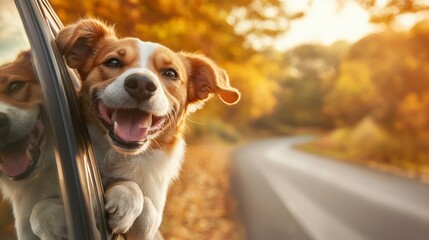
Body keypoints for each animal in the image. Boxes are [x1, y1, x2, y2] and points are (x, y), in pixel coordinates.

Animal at [55, 19, 239, 240]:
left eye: (170, 73)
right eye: (113, 62)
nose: (141, 84)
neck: (120, 156)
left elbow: (149, 211)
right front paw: (126, 198)